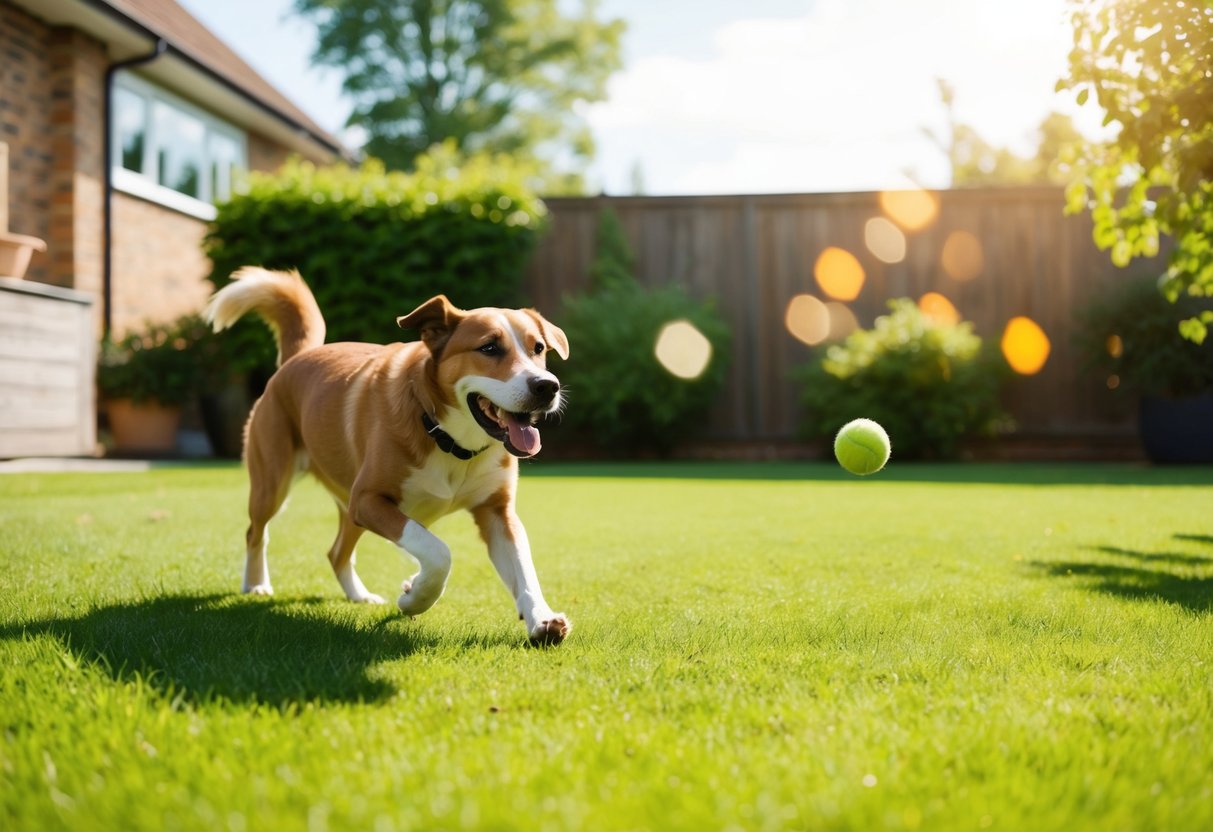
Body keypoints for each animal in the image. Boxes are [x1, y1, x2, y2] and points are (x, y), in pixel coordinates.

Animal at [206, 266, 570, 645]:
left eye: (538, 348)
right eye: (489, 347)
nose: (547, 386)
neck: (451, 441)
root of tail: (297, 358)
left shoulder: (497, 512)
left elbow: (523, 569)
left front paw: (541, 619)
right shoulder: (370, 499)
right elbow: (438, 552)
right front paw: (416, 597)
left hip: (349, 507)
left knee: (337, 552)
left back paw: (358, 595)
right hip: (275, 483)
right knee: (256, 532)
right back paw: (256, 584)